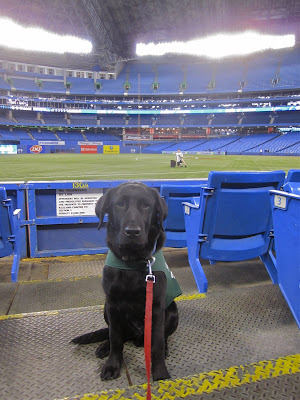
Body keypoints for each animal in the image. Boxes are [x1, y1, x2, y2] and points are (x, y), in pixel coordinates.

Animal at [72, 181, 180, 382]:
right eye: (119, 204)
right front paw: (112, 365)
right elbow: (115, 339)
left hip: (172, 312)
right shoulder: (113, 304)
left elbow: (157, 344)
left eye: (146, 205)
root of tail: (136, 335)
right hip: (105, 308)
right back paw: (104, 347)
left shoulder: (156, 306)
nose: (132, 232)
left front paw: (160, 372)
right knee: (117, 335)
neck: (133, 261)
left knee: (163, 337)